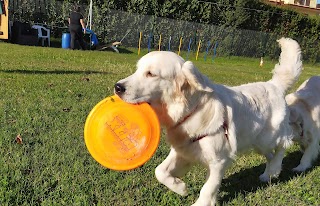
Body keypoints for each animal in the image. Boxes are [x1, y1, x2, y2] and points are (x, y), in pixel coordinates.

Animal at [114, 37, 302, 205]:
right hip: (257, 143)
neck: (192, 109)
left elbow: (208, 188)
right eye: (138, 70)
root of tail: (274, 85)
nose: (117, 87)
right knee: (271, 154)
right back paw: (268, 174)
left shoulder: (218, 160)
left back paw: (275, 168)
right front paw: (180, 187)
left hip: (268, 137)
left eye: (151, 74)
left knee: (285, 143)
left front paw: (200, 201)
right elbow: (159, 171)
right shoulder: (183, 150)